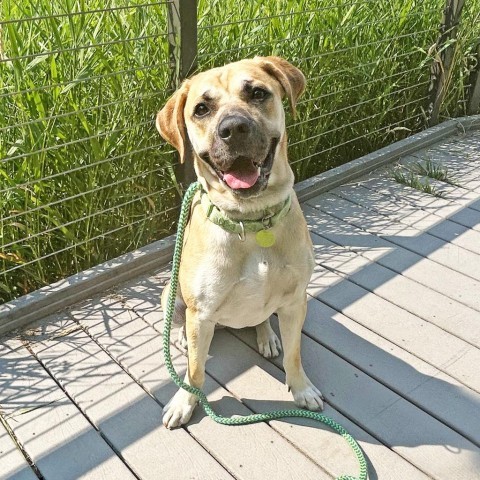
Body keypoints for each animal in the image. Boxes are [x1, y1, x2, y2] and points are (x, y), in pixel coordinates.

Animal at [158, 56, 322, 428]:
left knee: (262, 319)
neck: (251, 219)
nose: (233, 128)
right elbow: (195, 371)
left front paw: (302, 388)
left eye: (258, 93)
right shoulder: (201, 315)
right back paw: (179, 336)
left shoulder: (296, 301)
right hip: (170, 293)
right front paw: (185, 402)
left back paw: (267, 336)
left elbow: (295, 354)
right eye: (201, 108)